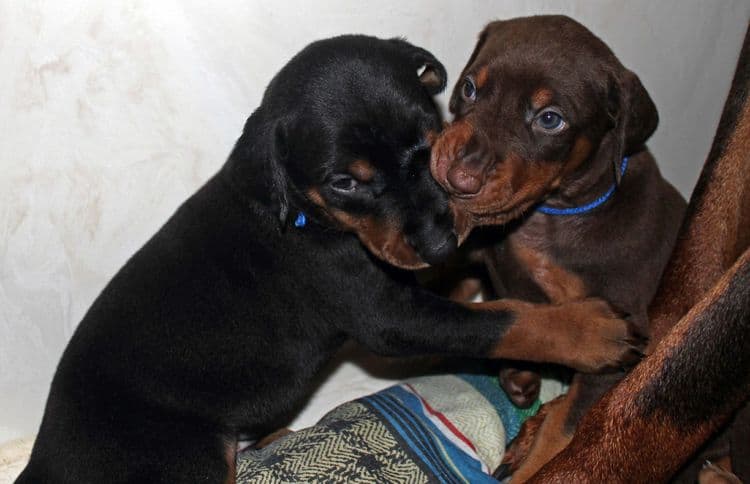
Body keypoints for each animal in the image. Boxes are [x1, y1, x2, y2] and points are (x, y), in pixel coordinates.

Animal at [19, 35, 640, 484]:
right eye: (345, 182)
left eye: (430, 141)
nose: (440, 244)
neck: (301, 212)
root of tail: (41, 464)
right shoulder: (385, 313)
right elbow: (501, 320)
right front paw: (592, 332)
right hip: (184, 459)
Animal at [432, 15, 692, 480]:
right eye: (470, 88)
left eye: (550, 119)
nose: (455, 176)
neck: (550, 216)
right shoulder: (484, 255)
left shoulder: (619, 339)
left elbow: (562, 430)